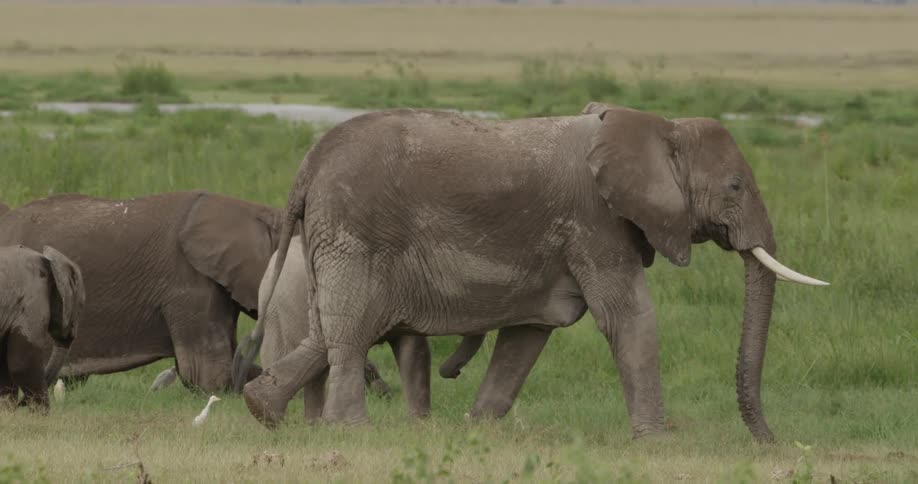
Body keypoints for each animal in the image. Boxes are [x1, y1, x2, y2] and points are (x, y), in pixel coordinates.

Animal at [1, 245, 84, 409]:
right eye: (82, 305)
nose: (20, 404)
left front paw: (7, 410)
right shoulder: (33, 301)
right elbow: (22, 364)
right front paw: (41, 413)